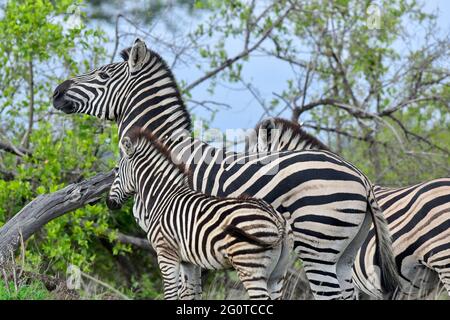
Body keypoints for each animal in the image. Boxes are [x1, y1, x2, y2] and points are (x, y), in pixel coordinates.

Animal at [107, 127, 294, 300]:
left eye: (116, 170)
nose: (109, 203)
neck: (164, 196)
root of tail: (276, 218)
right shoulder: (187, 261)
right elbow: (189, 294)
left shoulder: (166, 252)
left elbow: (170, 294)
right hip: (277, 274)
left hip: (250, 266)